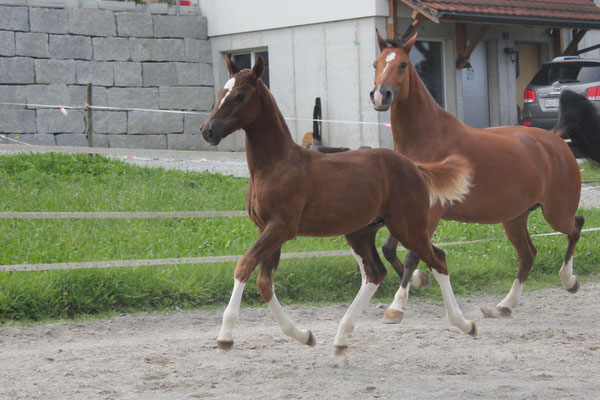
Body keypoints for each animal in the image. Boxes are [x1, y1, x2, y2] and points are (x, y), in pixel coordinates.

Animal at [202, 54, 474, 354]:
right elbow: (265, 283)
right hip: (362, 232)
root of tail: (415, 167)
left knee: (438, 261)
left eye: (239, 95)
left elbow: (244, 265)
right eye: (221, 92)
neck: (275, 165)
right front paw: (304, 335)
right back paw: (342, 336)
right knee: (376, 273)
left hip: (408, 227)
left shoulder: (281, 228)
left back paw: (465, 324)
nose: (208, 131)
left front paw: (225, 336)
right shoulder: (267, 229)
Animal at [370, 31, 600, 324]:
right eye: (375, 64)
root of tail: (557, 139)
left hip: (555, 212)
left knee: (576, 225)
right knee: (528, 254)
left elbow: (412, 255)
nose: (380, 96)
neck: (427, 137)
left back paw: (569, 281)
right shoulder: (408, 210)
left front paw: (396, 307)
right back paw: (504, 305)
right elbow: (391, 248)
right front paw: (422, 280)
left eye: (402, 65)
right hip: (515, 217)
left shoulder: (431, 211)